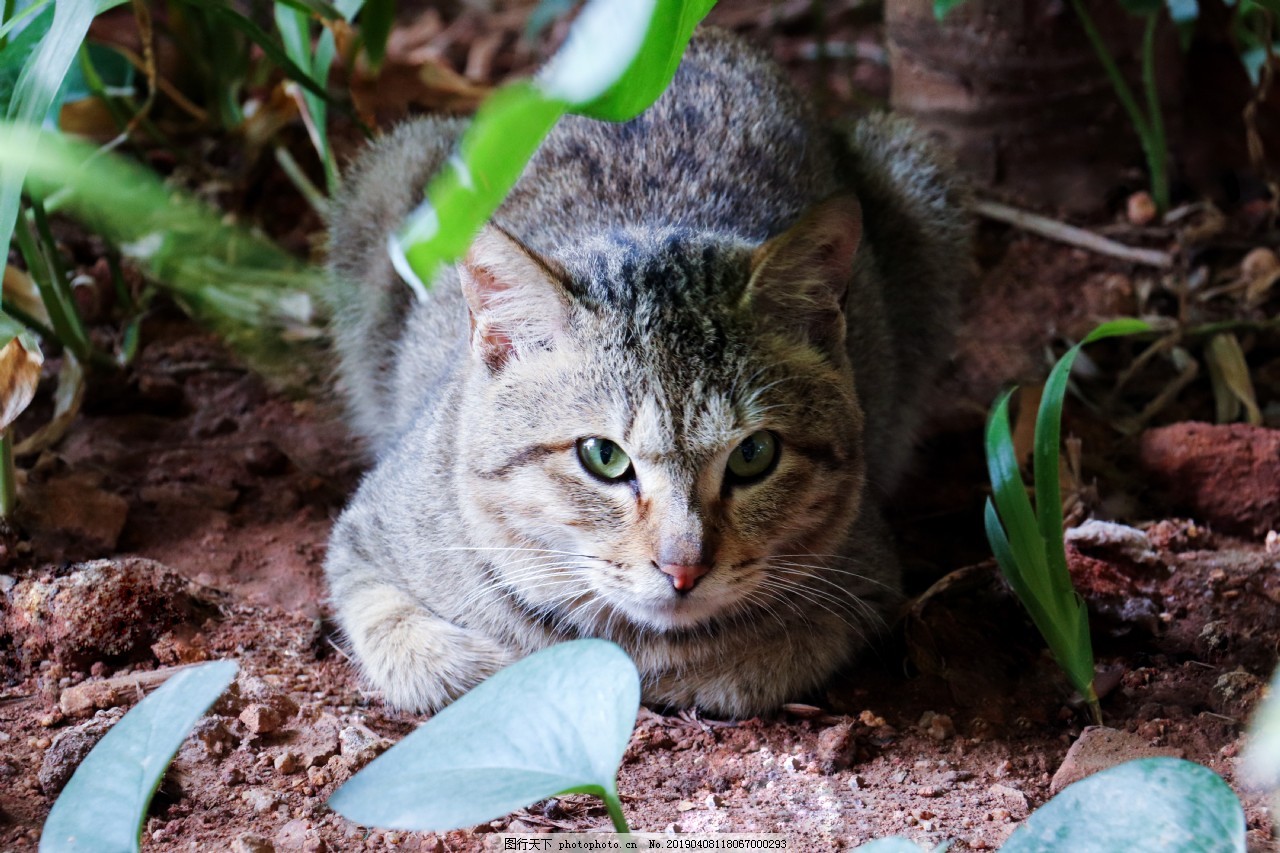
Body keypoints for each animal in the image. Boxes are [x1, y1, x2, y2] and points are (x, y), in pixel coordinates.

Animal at [322, 26, 967, 712]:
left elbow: (755, 660)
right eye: (602, 456)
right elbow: (413, 643)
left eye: (754, 454)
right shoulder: (360, 539)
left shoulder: (866, 574)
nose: (684, 569)